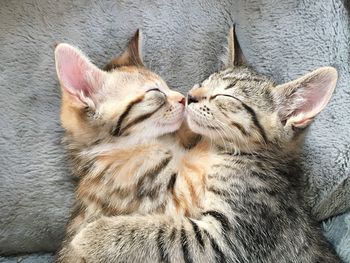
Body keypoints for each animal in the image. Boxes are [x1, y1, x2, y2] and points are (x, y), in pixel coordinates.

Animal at [71, 27, 342, 262]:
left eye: (225, 96)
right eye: (203, 82)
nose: (190, 96)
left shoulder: (228, 238)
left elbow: (163, 236)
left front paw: (93, 235)